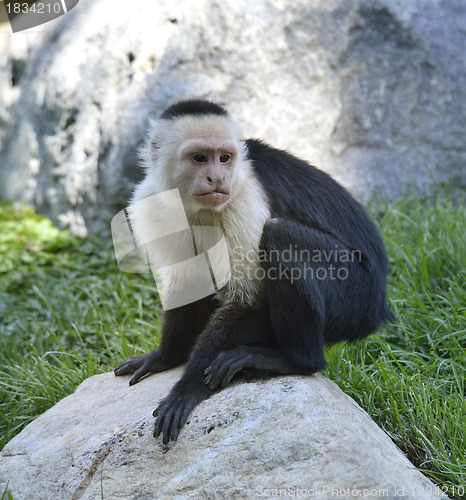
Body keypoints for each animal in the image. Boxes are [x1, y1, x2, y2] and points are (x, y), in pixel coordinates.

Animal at [114, 99, 396, 444]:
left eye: (224, 158)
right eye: (199, 158)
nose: (217, 178)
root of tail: (379, 305)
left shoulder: (242, 199)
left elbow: (252, 300)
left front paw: (186, 389)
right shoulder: (157, 203)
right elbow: (189, 285)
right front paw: (164, 356)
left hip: (356, 296)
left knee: (277, 234)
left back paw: (295, 360)